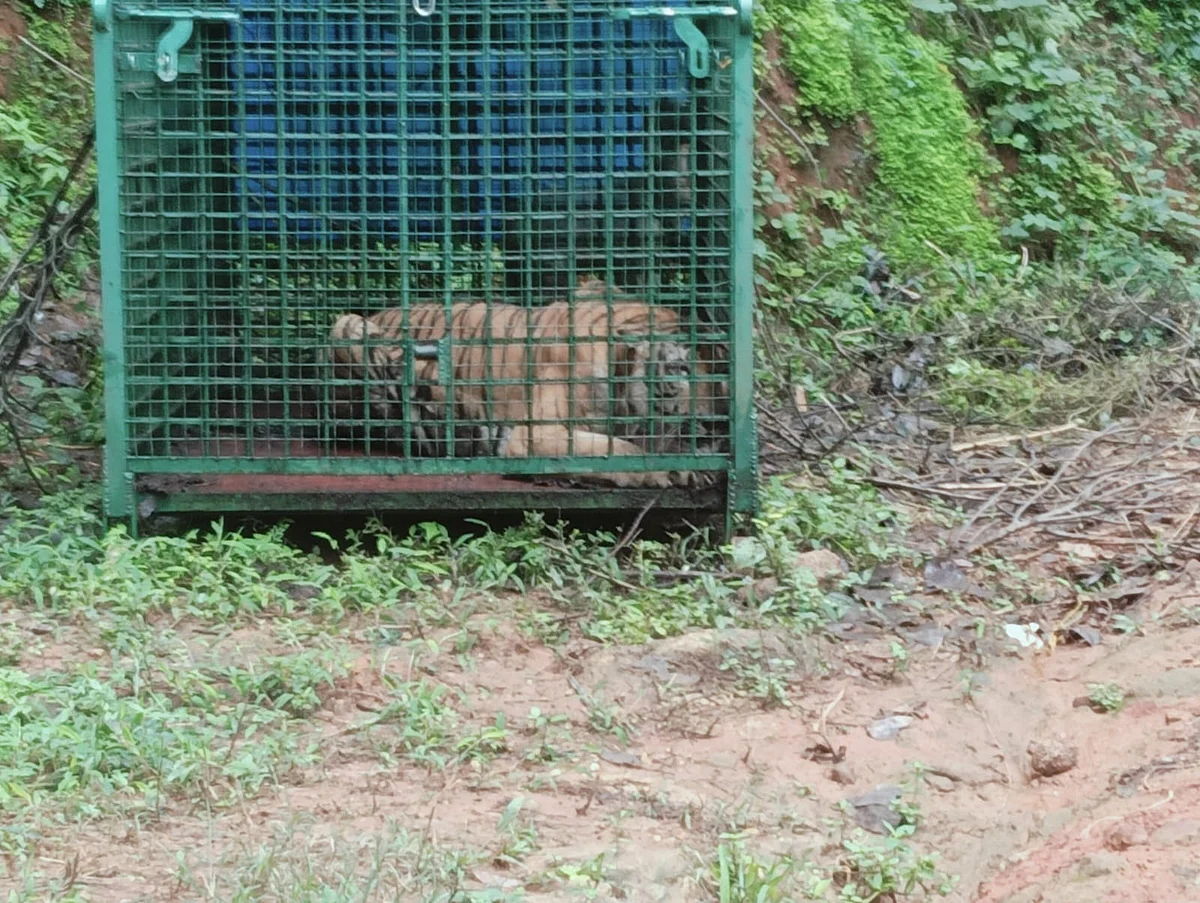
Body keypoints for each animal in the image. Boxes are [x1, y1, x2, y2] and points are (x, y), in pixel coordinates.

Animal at [324, 277, 729, 488]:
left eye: (726, 382)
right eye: (682, 369)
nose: (715, 423)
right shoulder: (535, 433)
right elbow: (621, 450)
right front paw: (671, 469)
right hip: (345, 325)